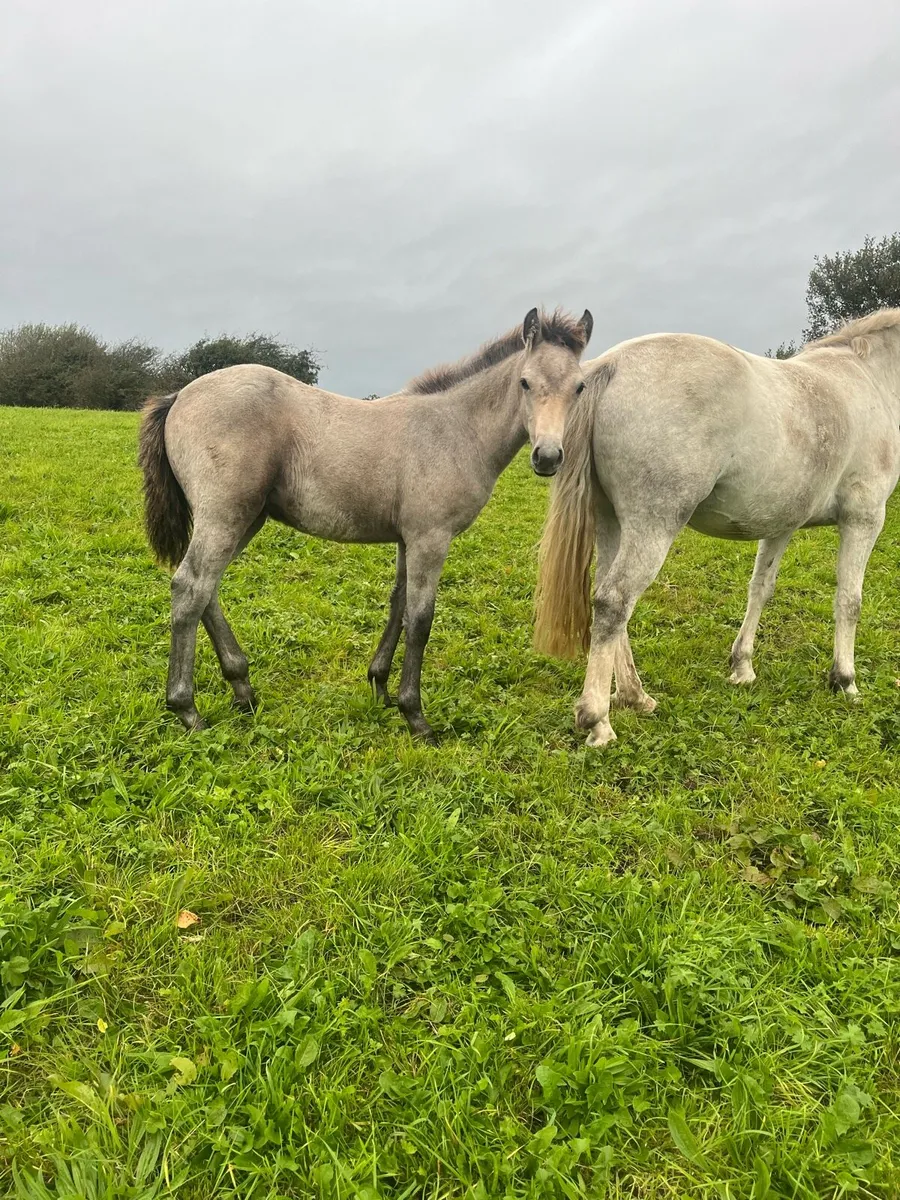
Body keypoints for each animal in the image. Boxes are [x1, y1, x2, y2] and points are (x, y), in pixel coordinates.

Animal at [139, 306, 593, 742]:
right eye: (525, 382)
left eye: (580, 387)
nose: (548, 457)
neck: (454, 429)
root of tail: (179, 395)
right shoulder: (431, 538)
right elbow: (421, 619)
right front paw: (415, 715)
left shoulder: (408, 539)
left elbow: (398, 603)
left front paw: (379, 686)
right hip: (226, 514)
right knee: (190, 588)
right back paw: (187, 710)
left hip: (246, 518)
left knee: (206, 590)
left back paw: (243, 690)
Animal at [534, 309, 900, 748]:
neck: (872, 378)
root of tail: (613, 364)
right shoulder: (864, 518)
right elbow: (850, 601)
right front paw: (845, 681)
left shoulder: (781, 525)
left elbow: (760, 590)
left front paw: (742, 667)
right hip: (652, 526)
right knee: (614, 602)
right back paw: (598, 720)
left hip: (612, 523)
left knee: (608, 599)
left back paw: (636, 697)